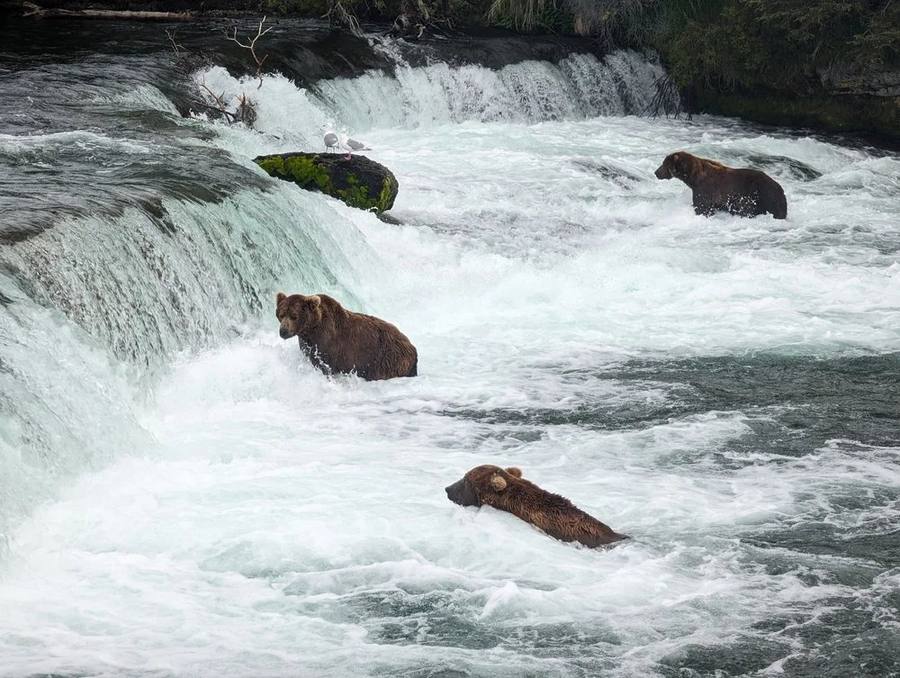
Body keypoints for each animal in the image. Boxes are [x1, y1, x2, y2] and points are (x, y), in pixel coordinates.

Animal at [275, 292, 417, 381]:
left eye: (294, 316)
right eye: (281, 314)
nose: (283, 331)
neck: (312, 329)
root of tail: (412, 346)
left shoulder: (329, 344)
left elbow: (325, 365)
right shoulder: (308, 343)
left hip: (386, 358)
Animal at [655, 151, 787, 219]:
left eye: (664, 164)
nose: (656, 172)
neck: (694, 178)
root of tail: (780, 188)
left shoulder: (705, 189)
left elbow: (702, 206)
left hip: (763, 195)